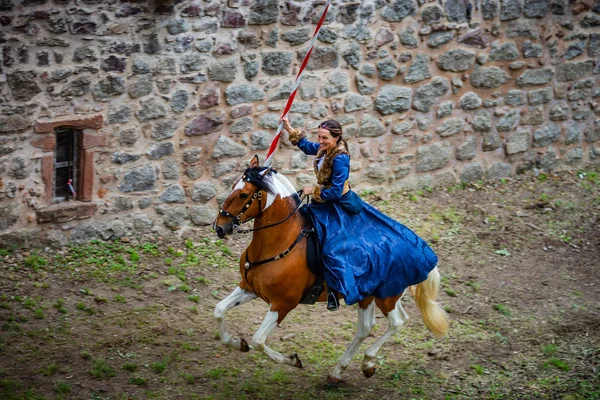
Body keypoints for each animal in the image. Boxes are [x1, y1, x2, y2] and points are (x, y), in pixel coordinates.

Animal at [213, 156, 448, 384]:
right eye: (232, 186)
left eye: (244, 194)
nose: (219, 227)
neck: (282, 242)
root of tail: (419, 247)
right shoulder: (249, 287)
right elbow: (219, 310)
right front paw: (237, 342)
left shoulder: (282, 304)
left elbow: (259, 340)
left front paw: (292, 359)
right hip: (370, 294)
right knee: (367, 326)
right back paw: (338, 372)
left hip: (386, 295)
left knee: (397, 321)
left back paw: (368, 362)